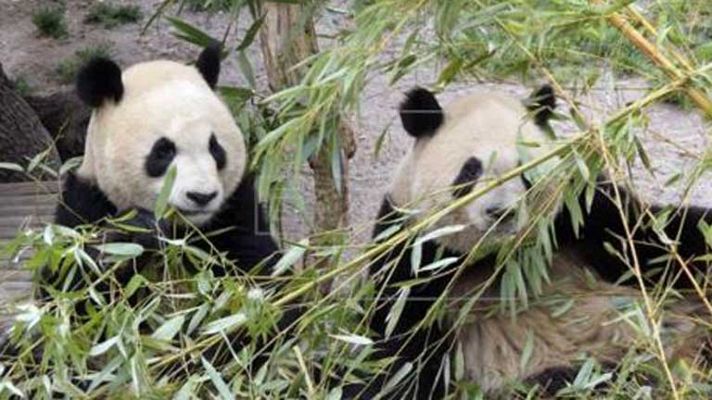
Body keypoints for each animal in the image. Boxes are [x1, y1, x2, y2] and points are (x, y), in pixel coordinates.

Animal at [355, 86, 711, 399]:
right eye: (470, 171)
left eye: (524, 170)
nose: (502, 212)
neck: (499, 256)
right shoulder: (412, 251)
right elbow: (401, 345)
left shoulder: (580, 212)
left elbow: (658, 241)